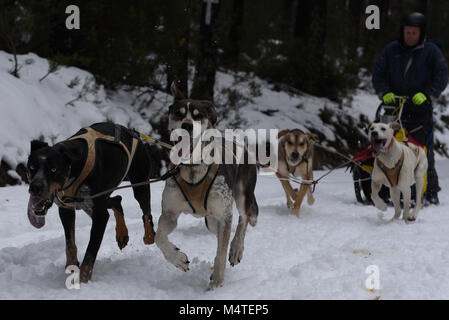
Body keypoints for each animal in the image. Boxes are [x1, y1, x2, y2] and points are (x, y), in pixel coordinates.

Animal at [26, 122, 156, 282]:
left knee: (146, 213)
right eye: (32, 167)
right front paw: (71, 266)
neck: (74, 168)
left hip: (139, 185)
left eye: (53, 169)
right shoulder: (66, 210)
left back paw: (149, 236)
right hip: (92, 202)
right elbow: (70, 244)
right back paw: (122, 234)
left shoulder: (100, 217)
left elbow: (90, 251)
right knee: (117, 200)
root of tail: (132, 131)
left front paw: (82, 279)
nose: (35, 187)